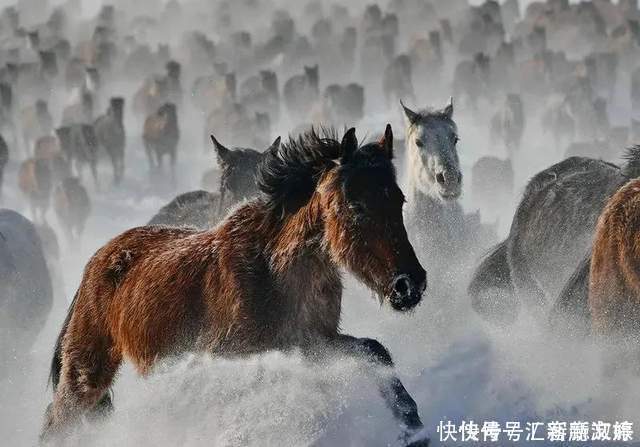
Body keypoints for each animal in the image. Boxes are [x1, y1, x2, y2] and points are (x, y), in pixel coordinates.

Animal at [40, 128, 430, 446]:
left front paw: (413, 428)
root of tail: (95, 262)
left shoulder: (309, 344)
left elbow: (374, 351)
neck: (273, 269)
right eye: (355, 205)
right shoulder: (232, 355)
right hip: (87, 374)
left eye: (399, 200)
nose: (408, 285)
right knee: (57, 423)